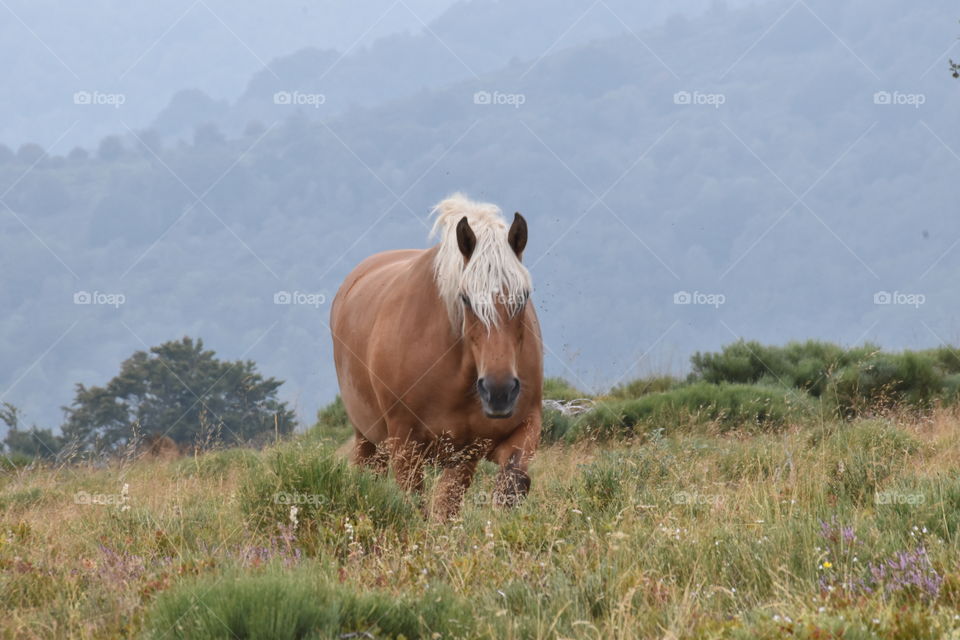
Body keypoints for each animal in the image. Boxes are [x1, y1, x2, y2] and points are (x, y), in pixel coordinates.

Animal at [330, 193, 543, 520]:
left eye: (523, 296)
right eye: (465, 298)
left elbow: (509, 485)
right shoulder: (405, 446)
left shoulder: (504, 438)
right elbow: (416, 507)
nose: (499, 392)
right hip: (368, 438)